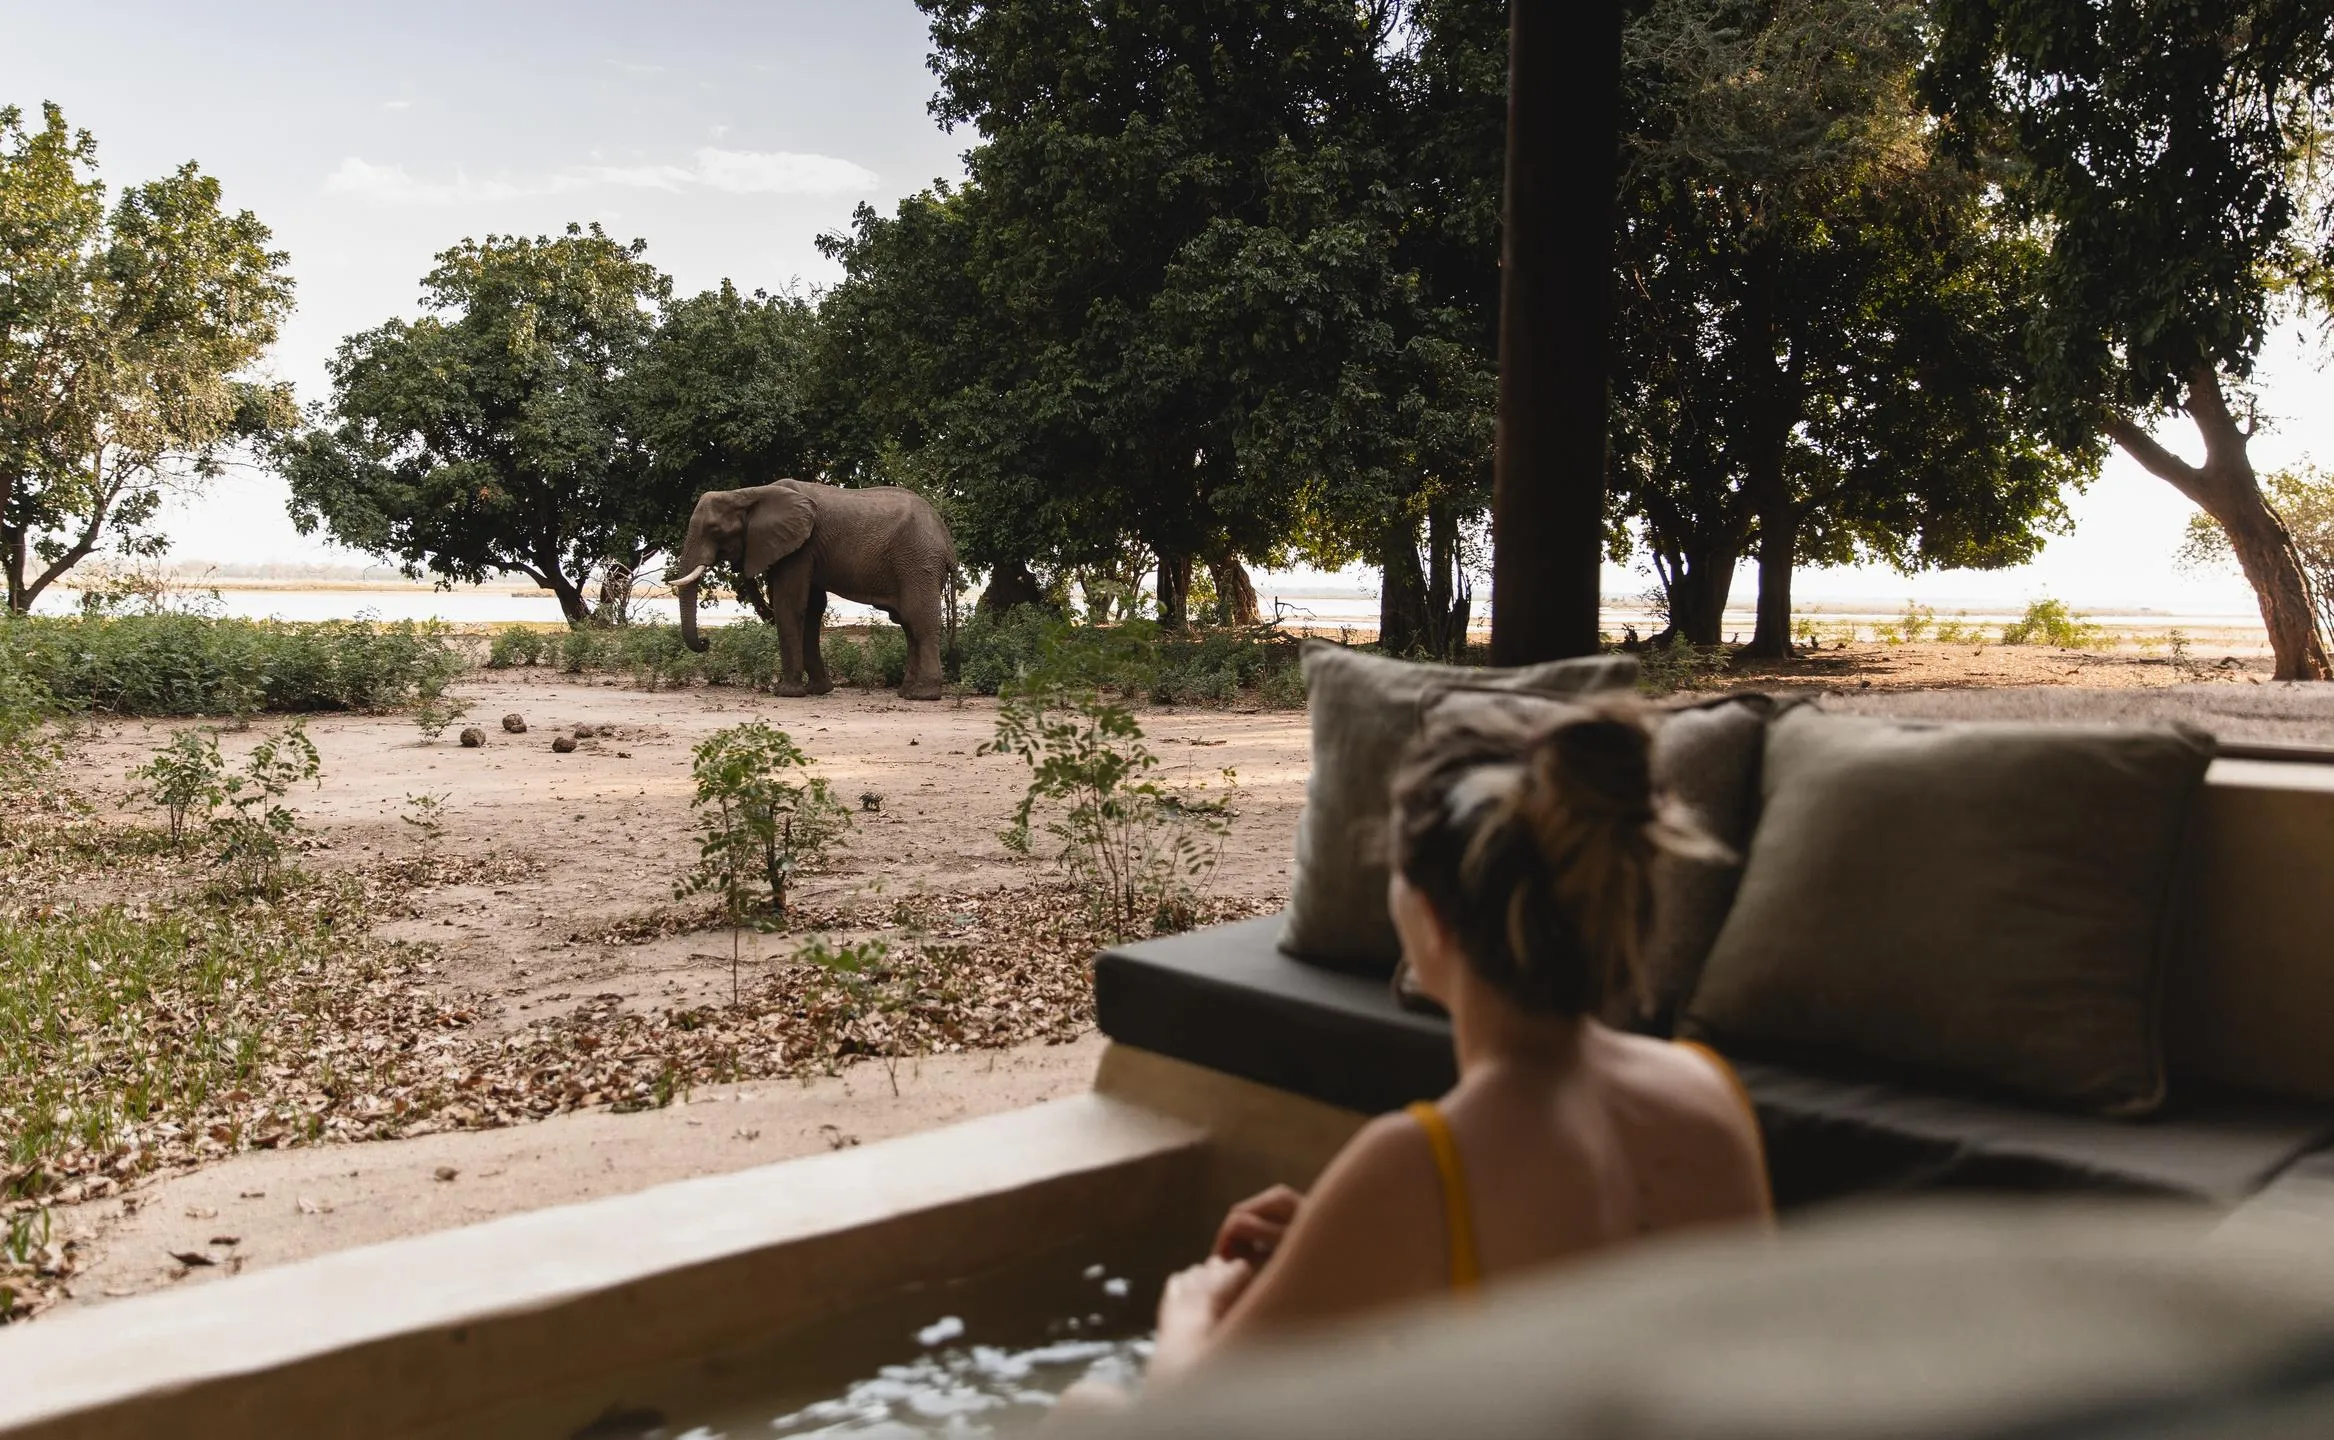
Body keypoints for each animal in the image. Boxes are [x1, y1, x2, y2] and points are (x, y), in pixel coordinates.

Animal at [671, 480, 957, 701]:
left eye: (714, 529)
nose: (706, 642)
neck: (747, 493)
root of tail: (945, 534)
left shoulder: (800, 548)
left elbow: (789, 603)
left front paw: (785, 693)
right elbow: (812, 608)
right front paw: (817, 690)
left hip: (917, 561)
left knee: (918, 620)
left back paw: (923, 695)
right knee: (908, 625)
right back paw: (905, 692)